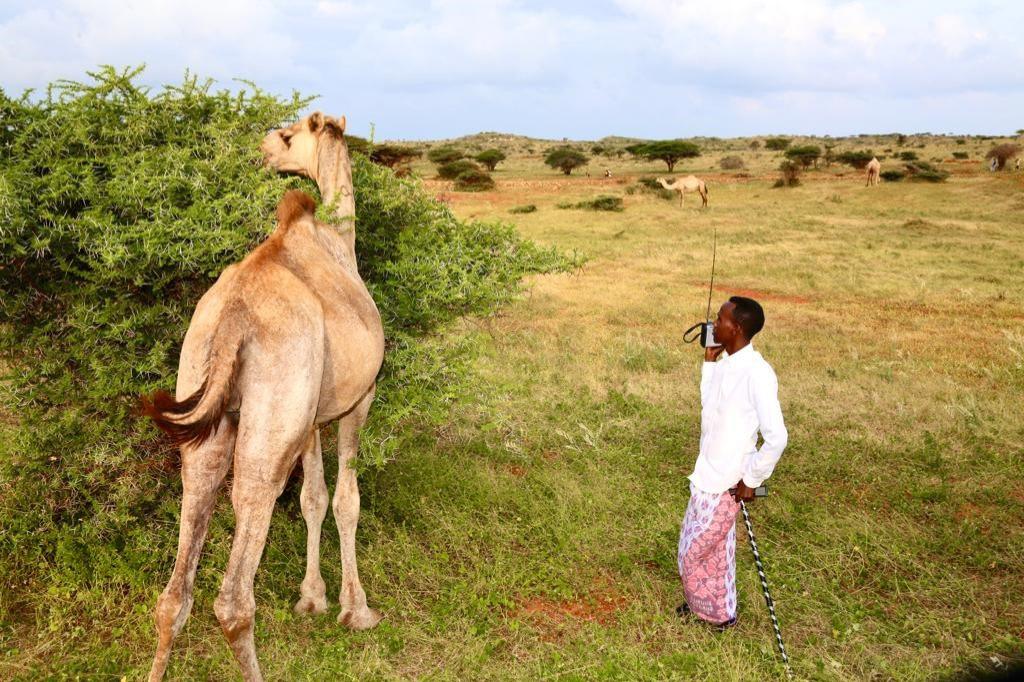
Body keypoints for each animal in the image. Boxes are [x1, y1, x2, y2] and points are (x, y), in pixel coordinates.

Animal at [143, 111, 385, 679]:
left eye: (288, 136)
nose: (260, 150)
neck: (340, 240)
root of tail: (233, 319)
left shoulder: (310, 416)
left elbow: (313, 497)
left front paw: (312, 599)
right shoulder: (357, 401)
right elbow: (346, 499)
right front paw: (355, 608)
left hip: (208, 411)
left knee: (174, 590)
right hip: (268, 425)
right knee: (233, 595)